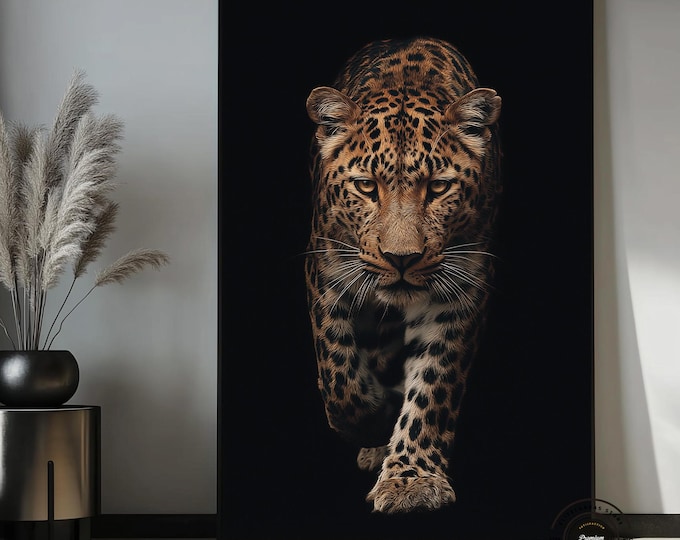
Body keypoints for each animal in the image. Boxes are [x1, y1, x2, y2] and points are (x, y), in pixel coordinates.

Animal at [304, 36, 502, 514]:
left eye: (438, 187)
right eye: (366, 187)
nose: (401, 259)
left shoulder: (461, 289)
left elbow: (433, 385)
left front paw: (411, 479)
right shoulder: (326, 271)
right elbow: (338, 373)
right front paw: (373, 421)